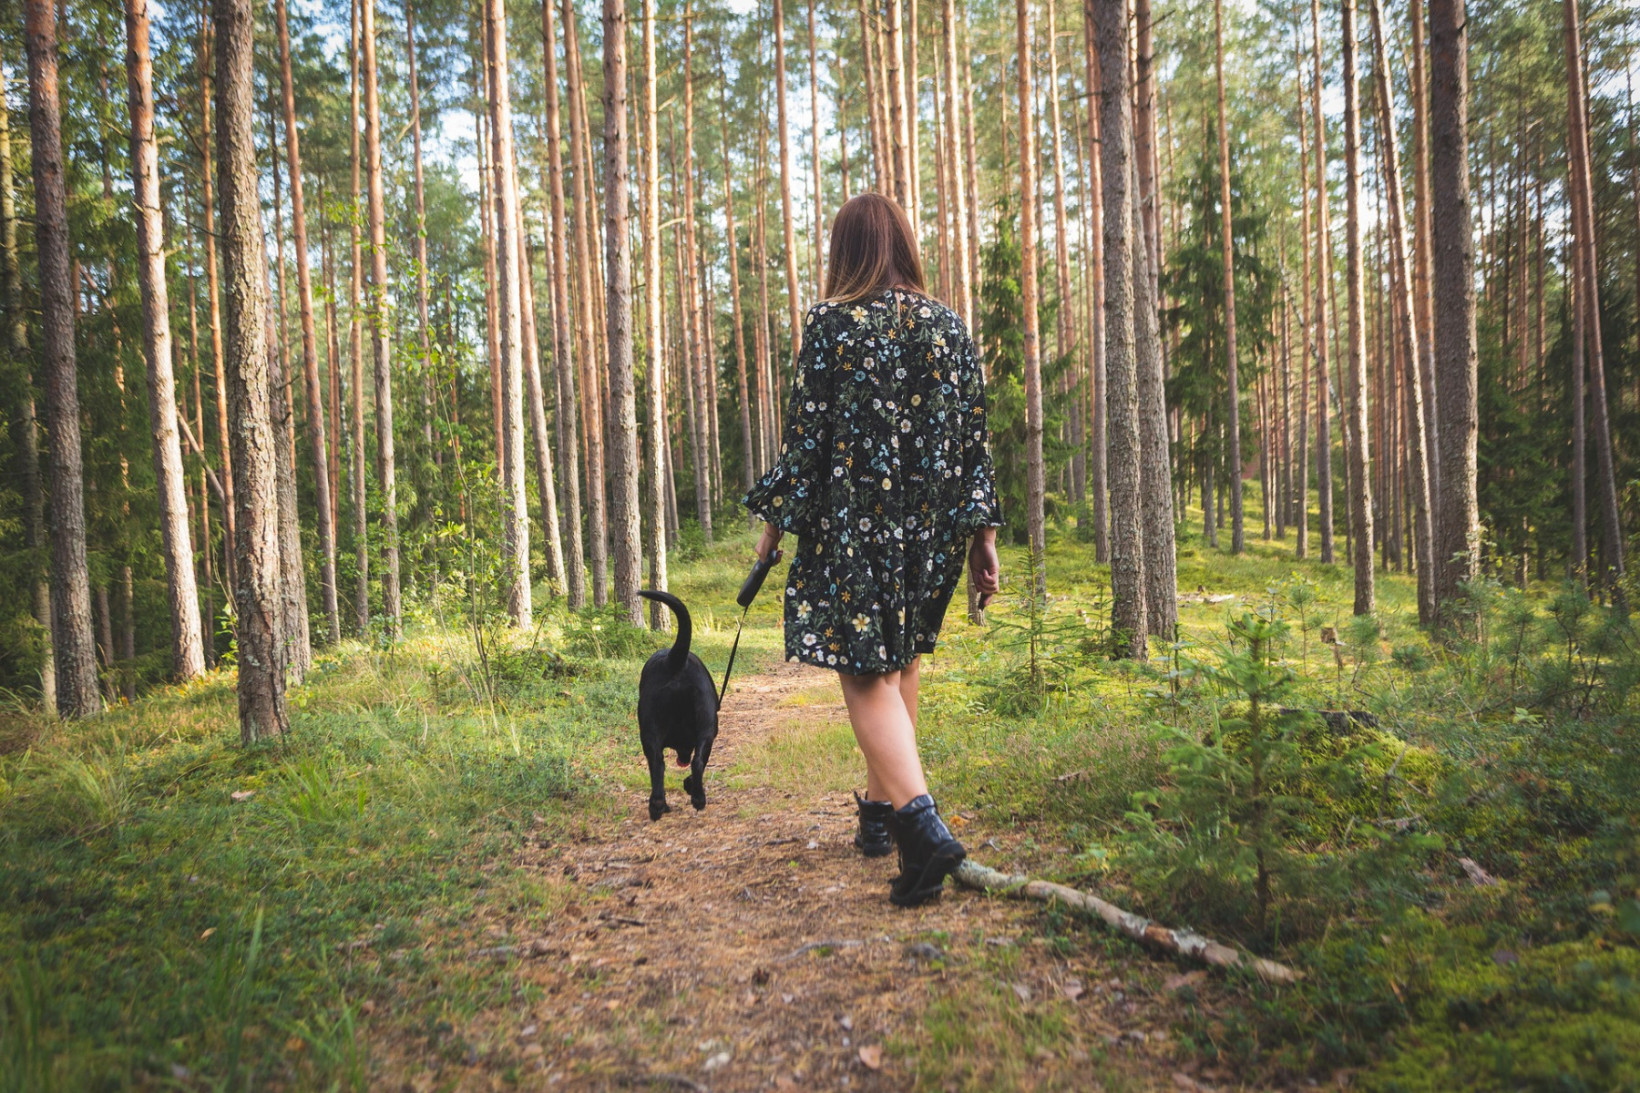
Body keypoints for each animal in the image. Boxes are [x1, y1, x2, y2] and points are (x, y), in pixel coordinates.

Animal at [629, 587, 715, 817]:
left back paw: (661, 804)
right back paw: (693, 798)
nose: (681, 759)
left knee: (661, 764)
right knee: (693, 762)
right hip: (705, 729)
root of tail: (674, 660)